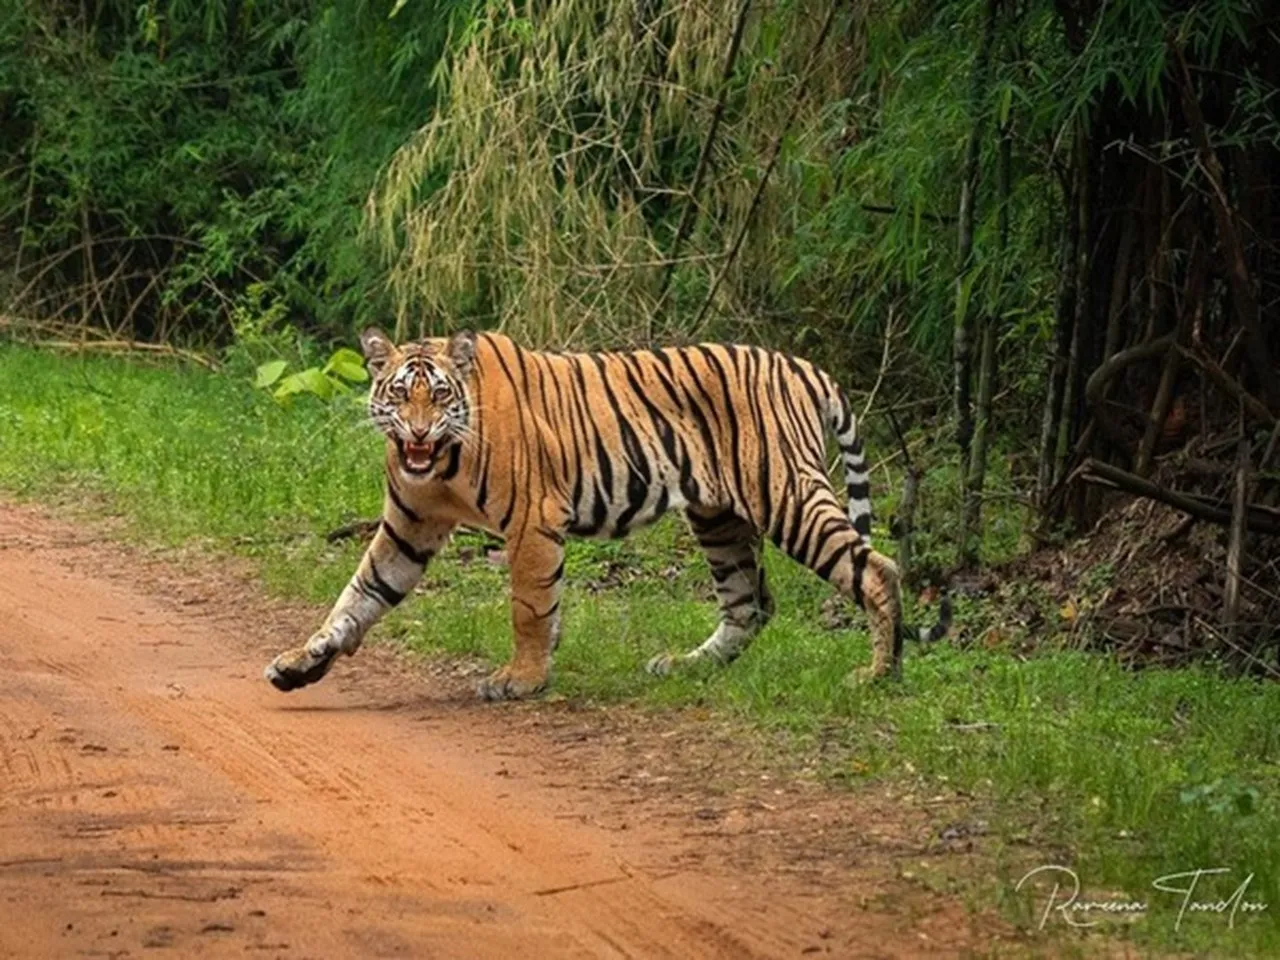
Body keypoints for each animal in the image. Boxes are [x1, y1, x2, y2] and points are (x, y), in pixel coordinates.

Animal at [264, 330, 947, 701]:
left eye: (440, 396)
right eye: (400, 394)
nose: (418, 433)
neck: (442, 465)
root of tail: (805, 367)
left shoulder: (532, 521)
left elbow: (529, 606)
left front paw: (522, 679)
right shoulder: (408, 529)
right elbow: (356, 598)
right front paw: (300, 664)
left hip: (786, 495)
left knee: (877, 569)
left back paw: (878, 674)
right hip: (719, 517)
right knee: (750, 604)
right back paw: (684, 667)